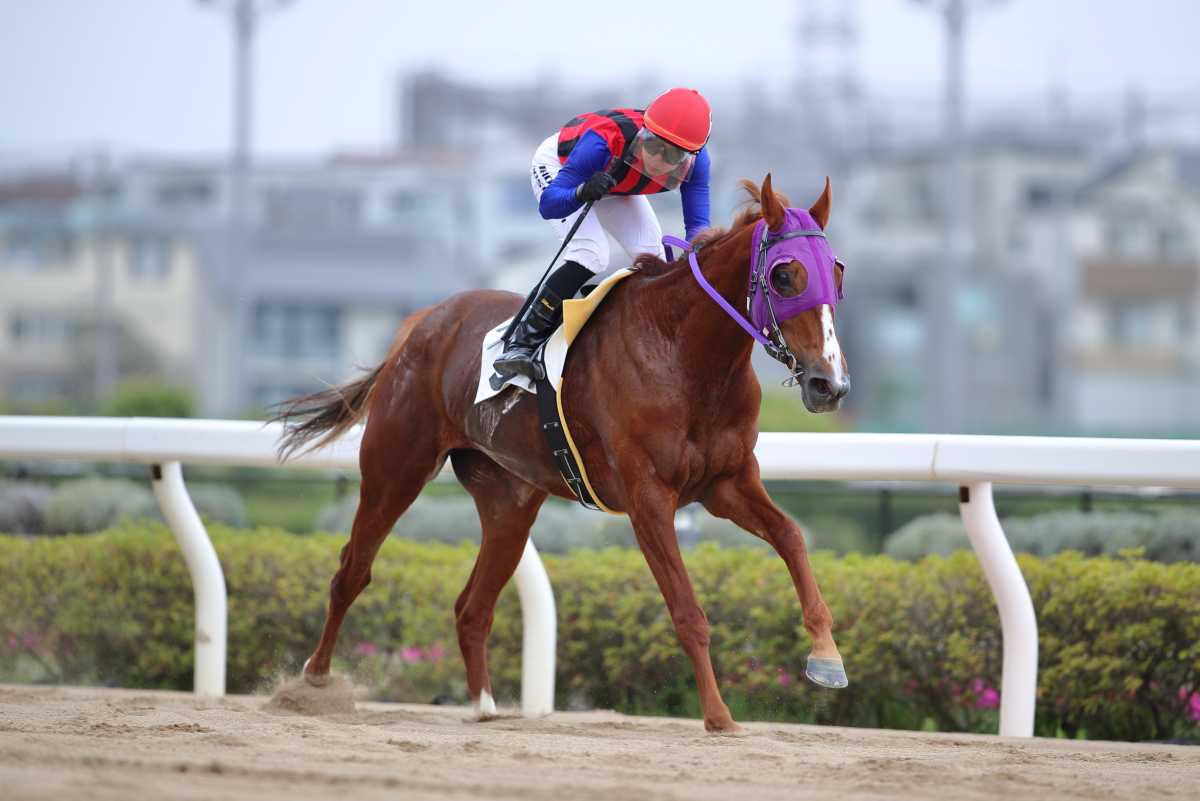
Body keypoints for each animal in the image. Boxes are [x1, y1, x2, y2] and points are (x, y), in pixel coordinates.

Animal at [272, 173, 854, 733]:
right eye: (784, 276)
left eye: (837, 272)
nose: (829, 384)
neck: (683, 355)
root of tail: (422, 323)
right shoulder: (648, 498)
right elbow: (688, 612)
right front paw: (718, 715)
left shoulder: (727, 483)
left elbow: (791, 537)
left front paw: (826, 658)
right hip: (396, 467)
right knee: (352, 571)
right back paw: (313, 682)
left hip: (509, 501)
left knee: (471, 607)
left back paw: (484, 704)